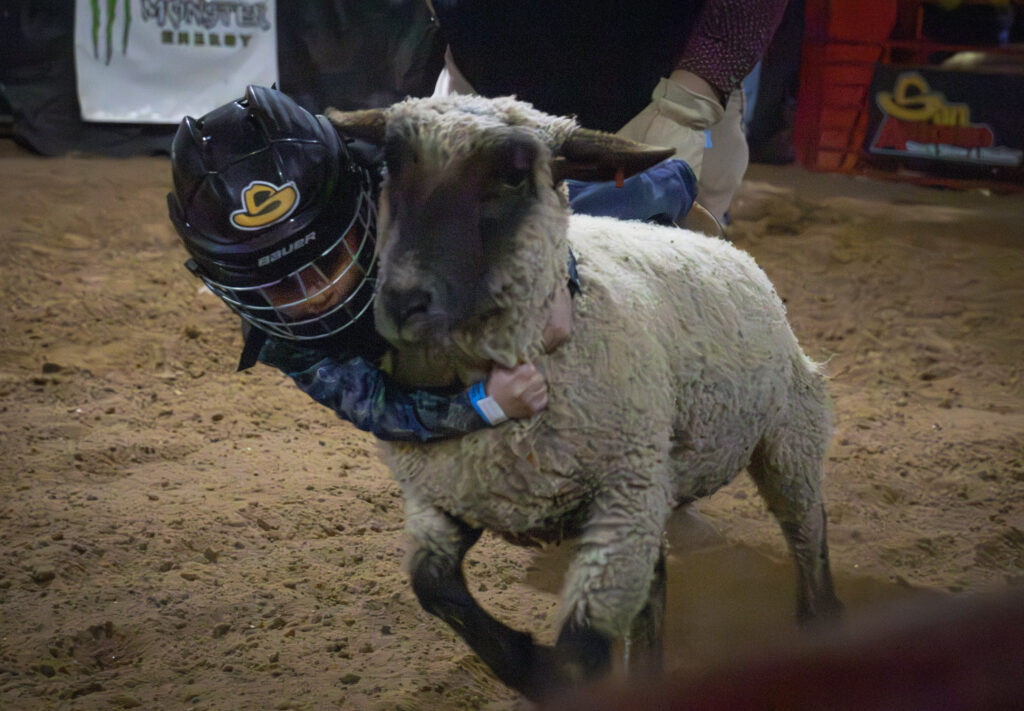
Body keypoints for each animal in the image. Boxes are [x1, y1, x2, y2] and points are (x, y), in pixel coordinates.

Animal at [325, 94, 839, 700]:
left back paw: (821, 621)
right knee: (655, 590)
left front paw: (545, 672)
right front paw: (520, 657)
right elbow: (431, 584)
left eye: (514, 175)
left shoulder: (622, 500)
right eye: (391, 163)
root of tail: (724, 244)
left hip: (787, 440)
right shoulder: (442, 497)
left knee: (807, 531)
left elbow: (575, 658)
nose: (401, 303)